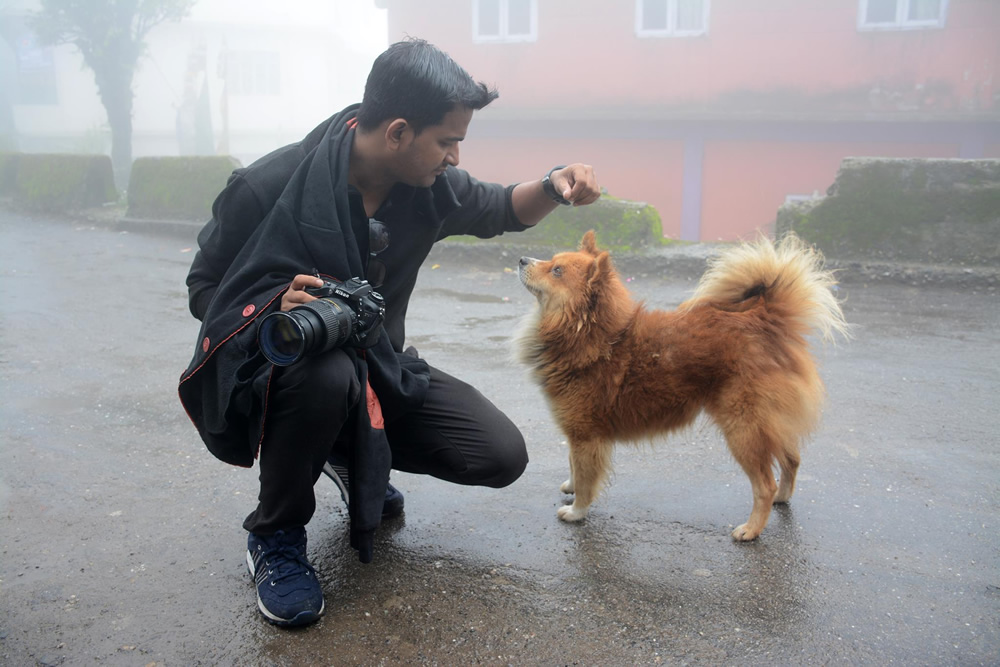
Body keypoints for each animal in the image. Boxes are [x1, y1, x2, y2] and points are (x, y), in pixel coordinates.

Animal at [516, 232, 852, 540]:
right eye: (551, 261)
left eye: (557, 270)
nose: (521, 259)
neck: (589, 333)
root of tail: (764, 318)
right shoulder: (576, 434)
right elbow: (573, 465)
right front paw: (570, 487)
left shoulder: (586, 435)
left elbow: (586, 478)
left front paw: (576, 511)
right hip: (768, 424)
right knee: (792, 459)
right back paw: (783, 497)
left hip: (743, 429)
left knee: (764, 485)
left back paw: (752, 529)